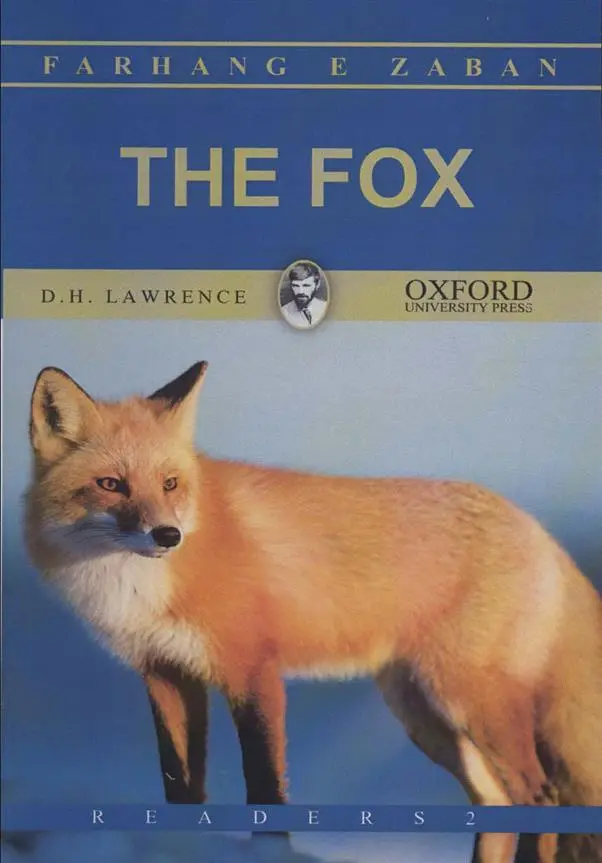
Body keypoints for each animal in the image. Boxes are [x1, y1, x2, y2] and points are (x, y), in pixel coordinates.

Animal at [24, 361, 602, 863]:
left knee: (541, 797)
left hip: (470, 702)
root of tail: (535, 527)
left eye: (169, 483)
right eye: (110, 484)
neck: (144, 585)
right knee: (495, 804)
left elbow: (265, 789)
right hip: (427, 717)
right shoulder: (167, 675)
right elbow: (180, 790)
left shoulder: (253, 671)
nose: (168, 535)